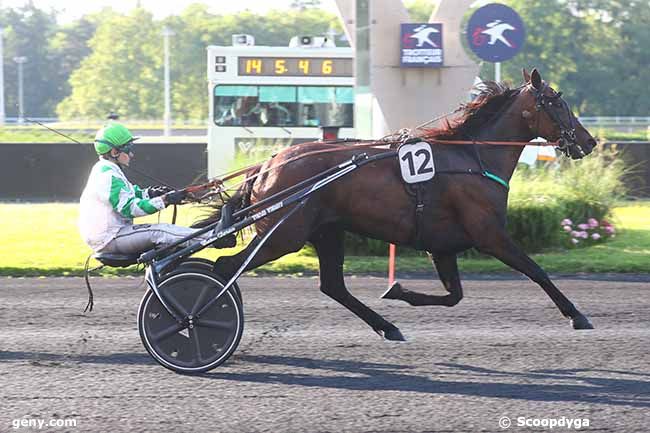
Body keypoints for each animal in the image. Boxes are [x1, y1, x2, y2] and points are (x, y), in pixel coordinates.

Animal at [205, 69, 596, 340]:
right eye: (556, 102)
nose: (589, 141)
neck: (472, 157)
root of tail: (267, 165)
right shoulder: (490, 235)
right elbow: (536, 271)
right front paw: (577, 315)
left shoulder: (442, 245)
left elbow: (453, 296)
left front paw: (398, 291)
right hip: (284, 235)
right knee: (226, 268)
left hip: (327, 231)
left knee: (332, 285)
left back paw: (387, 327)